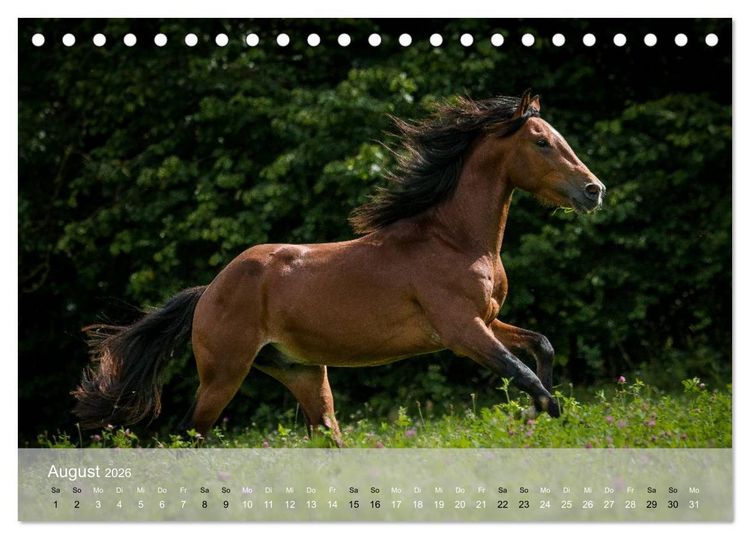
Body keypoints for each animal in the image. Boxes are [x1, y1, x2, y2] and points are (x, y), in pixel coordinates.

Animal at [73, 91, 605, 447]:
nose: (593, 190)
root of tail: (208, 291)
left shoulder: (488, 321)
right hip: (223, 375)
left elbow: (541, 346)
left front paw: (543, 413)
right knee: (188, 434)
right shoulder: (462, 330)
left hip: (304, 373)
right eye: (541, 142)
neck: (456, 240)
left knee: (326, 436)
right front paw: (545, 416)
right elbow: (523, 372)